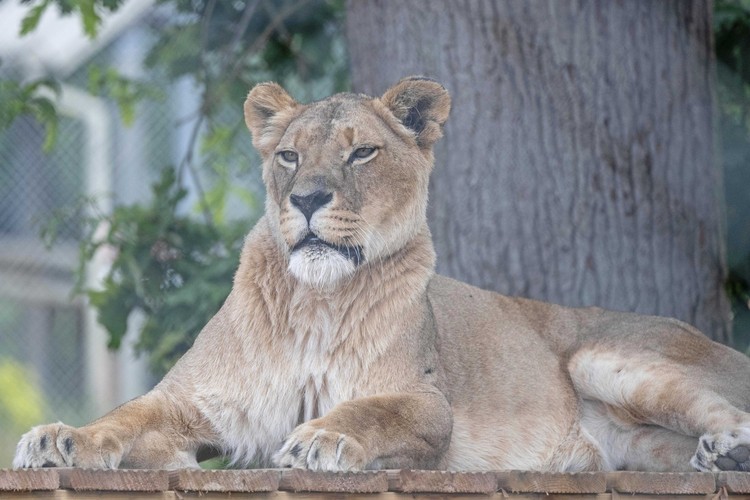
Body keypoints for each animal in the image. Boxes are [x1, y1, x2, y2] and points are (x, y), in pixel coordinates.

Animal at [13, 77, 750, 473]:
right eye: (288, 156)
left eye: (362, 153)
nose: (308, 198)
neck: (315, 302)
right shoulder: (192, 402)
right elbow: (123, 418)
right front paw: (58, 439)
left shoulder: (427, 403)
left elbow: (369, 409)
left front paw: (321, 438)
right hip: (639, 445)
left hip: (608, 357)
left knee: (727, 406)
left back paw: (728, 450)